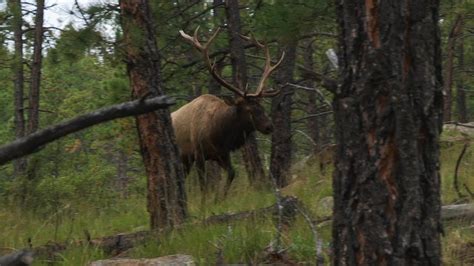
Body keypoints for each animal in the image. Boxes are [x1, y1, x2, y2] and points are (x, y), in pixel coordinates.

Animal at [174, 27, 286, 195]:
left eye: (262, 107)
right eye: (249, 110)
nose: (269, 126)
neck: (219, 133)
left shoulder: (221, 154)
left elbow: (232, 173)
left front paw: (220, 197)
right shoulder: (198, 153)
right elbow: (204, 186)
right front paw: (207, 200)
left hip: (186, 160)